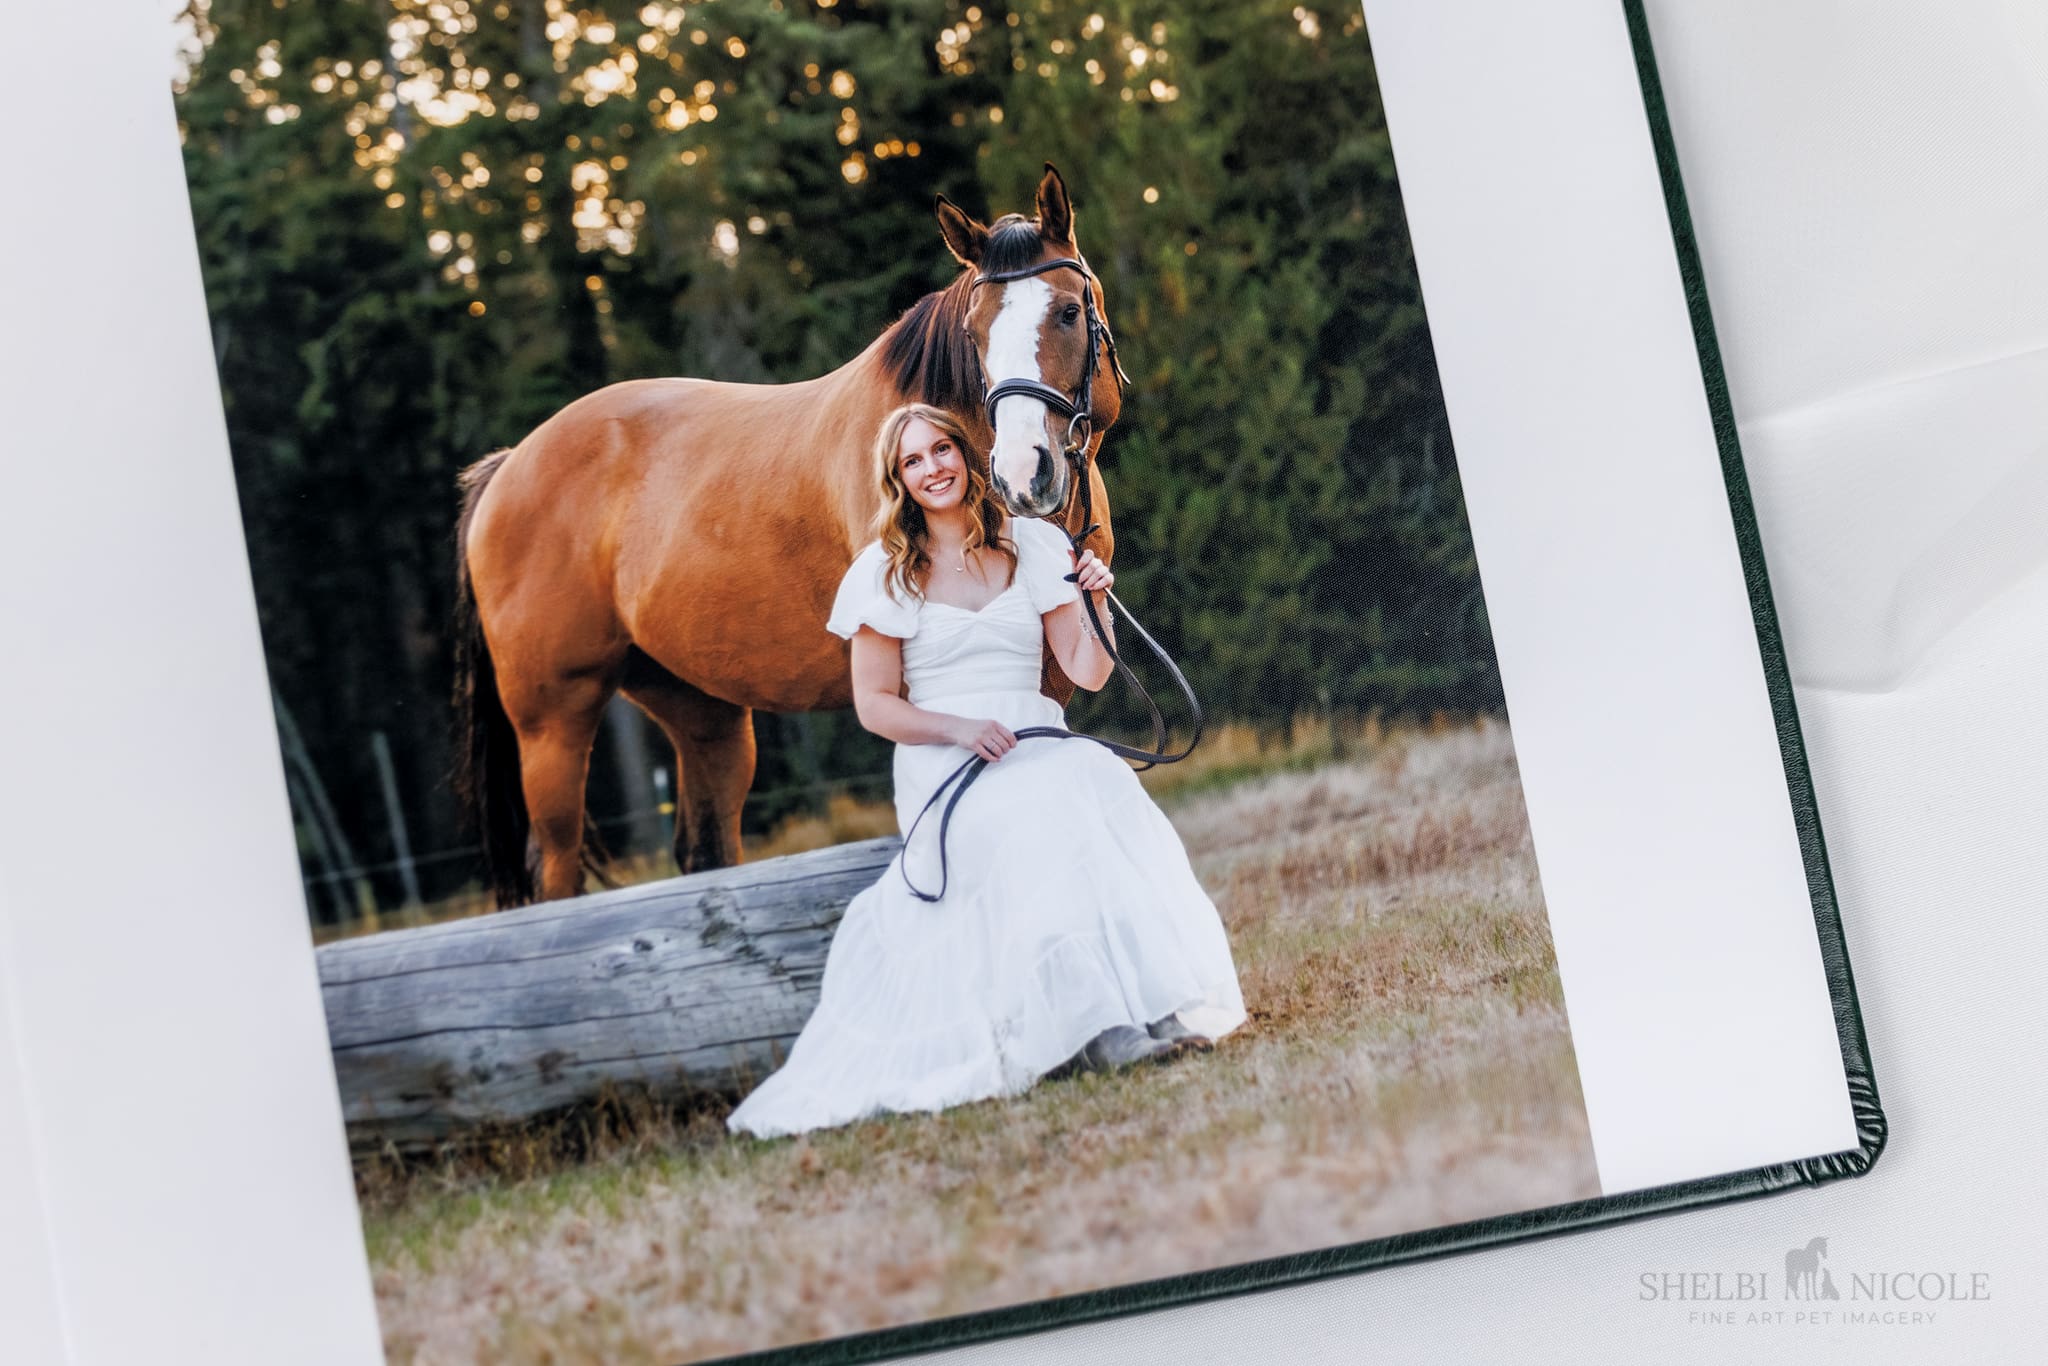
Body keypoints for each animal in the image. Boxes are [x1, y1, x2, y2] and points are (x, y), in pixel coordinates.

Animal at [453, 165, 1127, 905]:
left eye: (1068, 312)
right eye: (975, 332)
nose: (1022, 474)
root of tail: (509, 465)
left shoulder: (1050, 676)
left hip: (702, 713)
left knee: (706, 850)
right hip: (553, 727)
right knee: (558, 875)